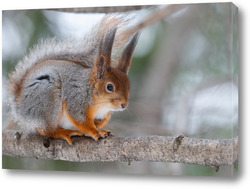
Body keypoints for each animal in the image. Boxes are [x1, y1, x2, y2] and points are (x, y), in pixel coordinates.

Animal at [6, 14, 140, 145]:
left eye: (129, 86)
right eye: (110, 87)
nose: (124, 105)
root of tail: (18, 105)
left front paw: (99, 128)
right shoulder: (76, 100)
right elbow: (81, 121)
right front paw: (95, 132)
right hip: (48, 99)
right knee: (48, 130)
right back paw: (63, 132)